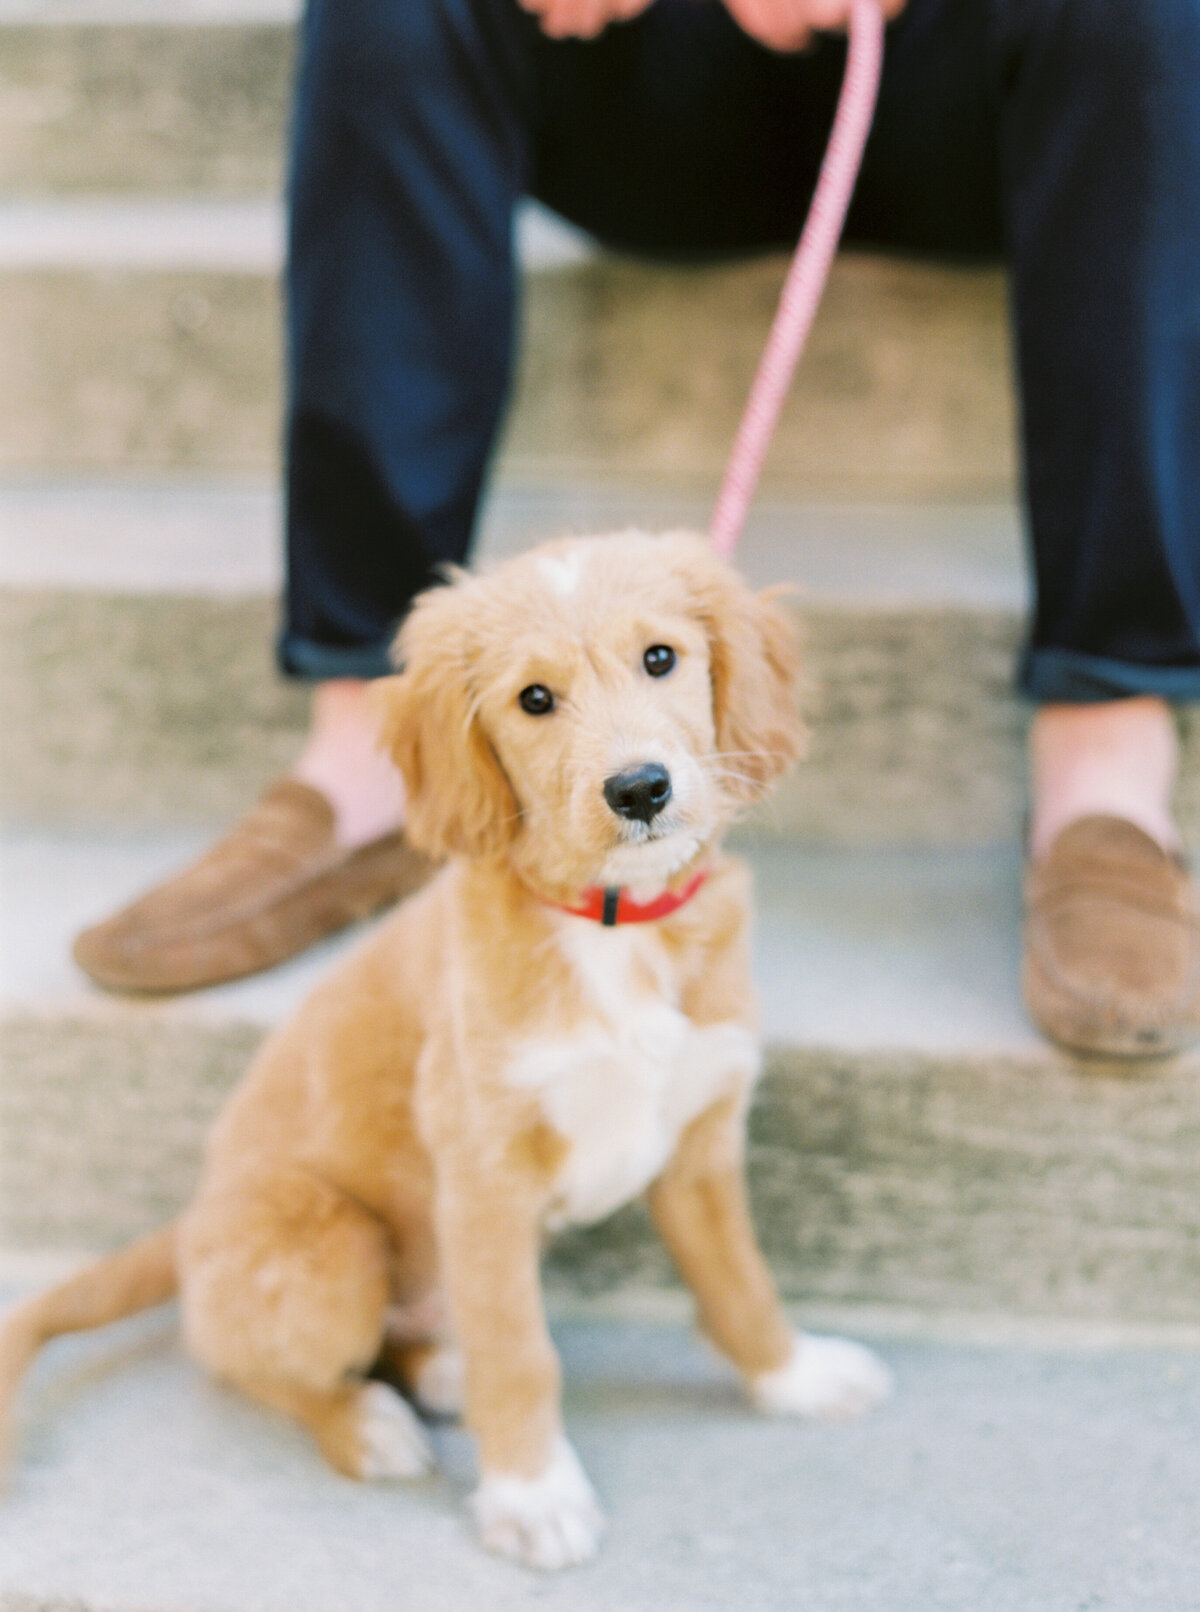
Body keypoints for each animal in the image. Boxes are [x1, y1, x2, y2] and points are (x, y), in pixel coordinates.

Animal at [2, 535, 890, 1566]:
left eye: (661, 658)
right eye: (533, 699)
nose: (639, 789)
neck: (612, 922)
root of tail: (184, 1228)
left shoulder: (700, 1144)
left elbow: (741, 1279)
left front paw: (794, 1376)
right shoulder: (484, 1175)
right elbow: (521, 1351)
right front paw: (534, 1494)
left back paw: (439, 1372)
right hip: (334, 1246)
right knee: (244, 1362)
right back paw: (367, 1424)